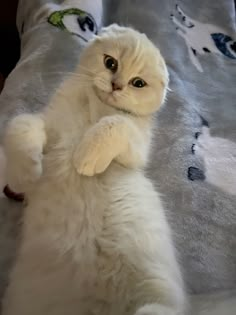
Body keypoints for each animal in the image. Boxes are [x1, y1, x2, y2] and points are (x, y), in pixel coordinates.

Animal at [1, 24, 186, 315]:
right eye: (111, 63)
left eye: (138, 83)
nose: (116, 85)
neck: (97, 105)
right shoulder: (46, 123)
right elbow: (20, 126)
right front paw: (26, 173)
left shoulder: (137, 149)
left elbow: (116, 123)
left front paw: (86, 156)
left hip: (155, 304)